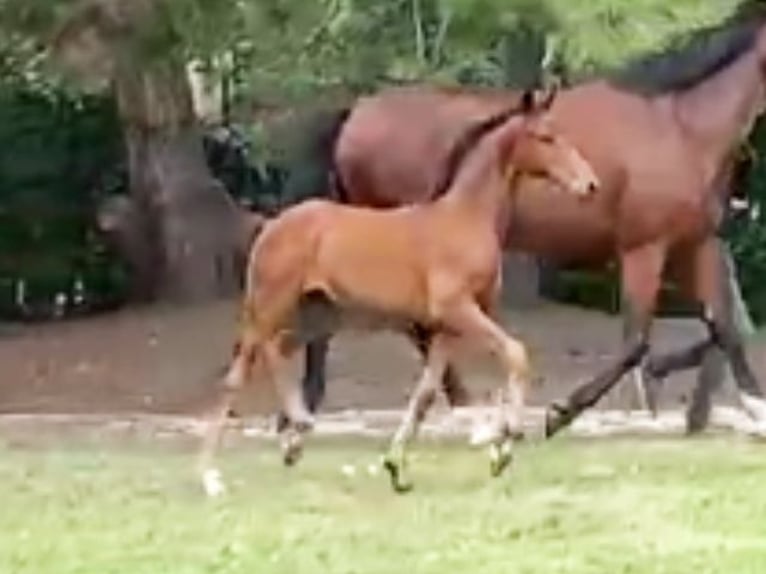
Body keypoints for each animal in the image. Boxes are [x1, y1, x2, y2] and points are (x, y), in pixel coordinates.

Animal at [201, 88, 604, 498]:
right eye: (545, 137)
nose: (589, 185)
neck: (465, 218)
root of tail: (270, 226)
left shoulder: (447, 325)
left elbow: (426, 392)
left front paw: (397, 466)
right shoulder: (458, 309)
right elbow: (515, 353)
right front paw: (505, 442)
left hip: (317, 314)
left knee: (275, 354)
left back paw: (291, 440)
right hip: (272, 305)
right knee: (246, 365)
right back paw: (216, 473)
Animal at [284, 3, 766, 436]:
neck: (679, 125)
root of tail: (355, 115)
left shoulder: (695, 244)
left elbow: (725, 329)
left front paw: (749, 406)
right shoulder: (643, 249)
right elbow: (637, 343)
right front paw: (562, 413)